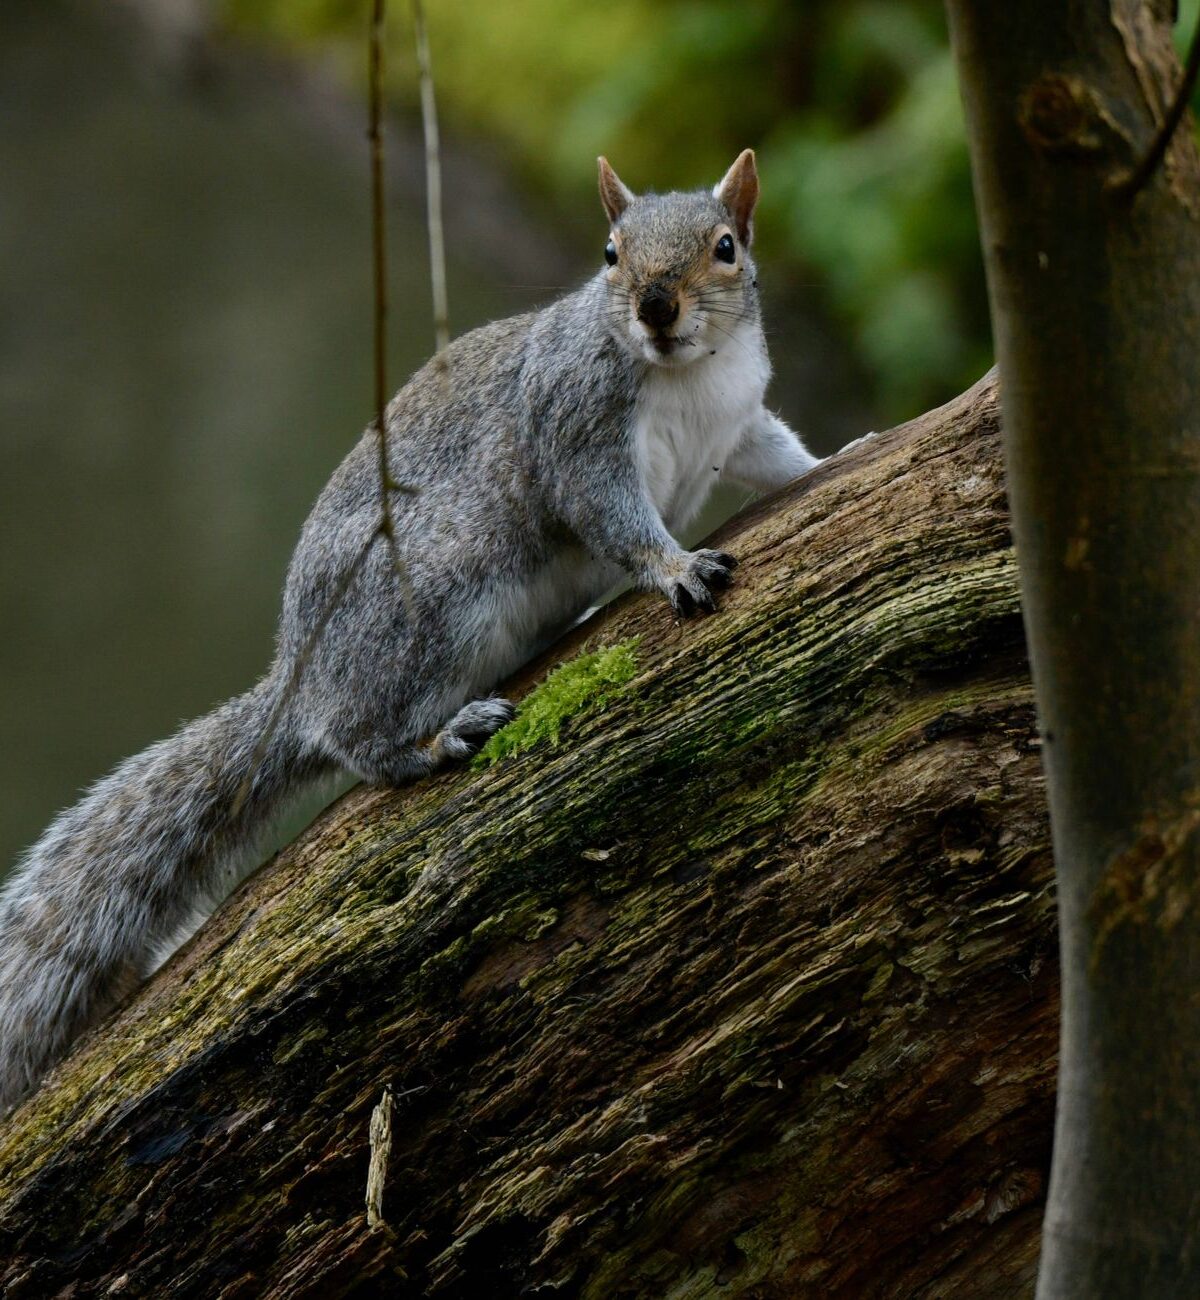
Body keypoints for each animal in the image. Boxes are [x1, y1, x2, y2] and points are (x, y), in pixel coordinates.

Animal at [0, 149, 819, 1114]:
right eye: (611, 253)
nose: (657, 306)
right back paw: (437, 737)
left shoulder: (737, 424)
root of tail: (299, 680)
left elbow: (777, 457)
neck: (688, 374)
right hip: (434, 600)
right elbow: (613, 518)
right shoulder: (574, 435)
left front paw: (849, 452)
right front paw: (673, 568)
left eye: (726, 246)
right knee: (362, 745)